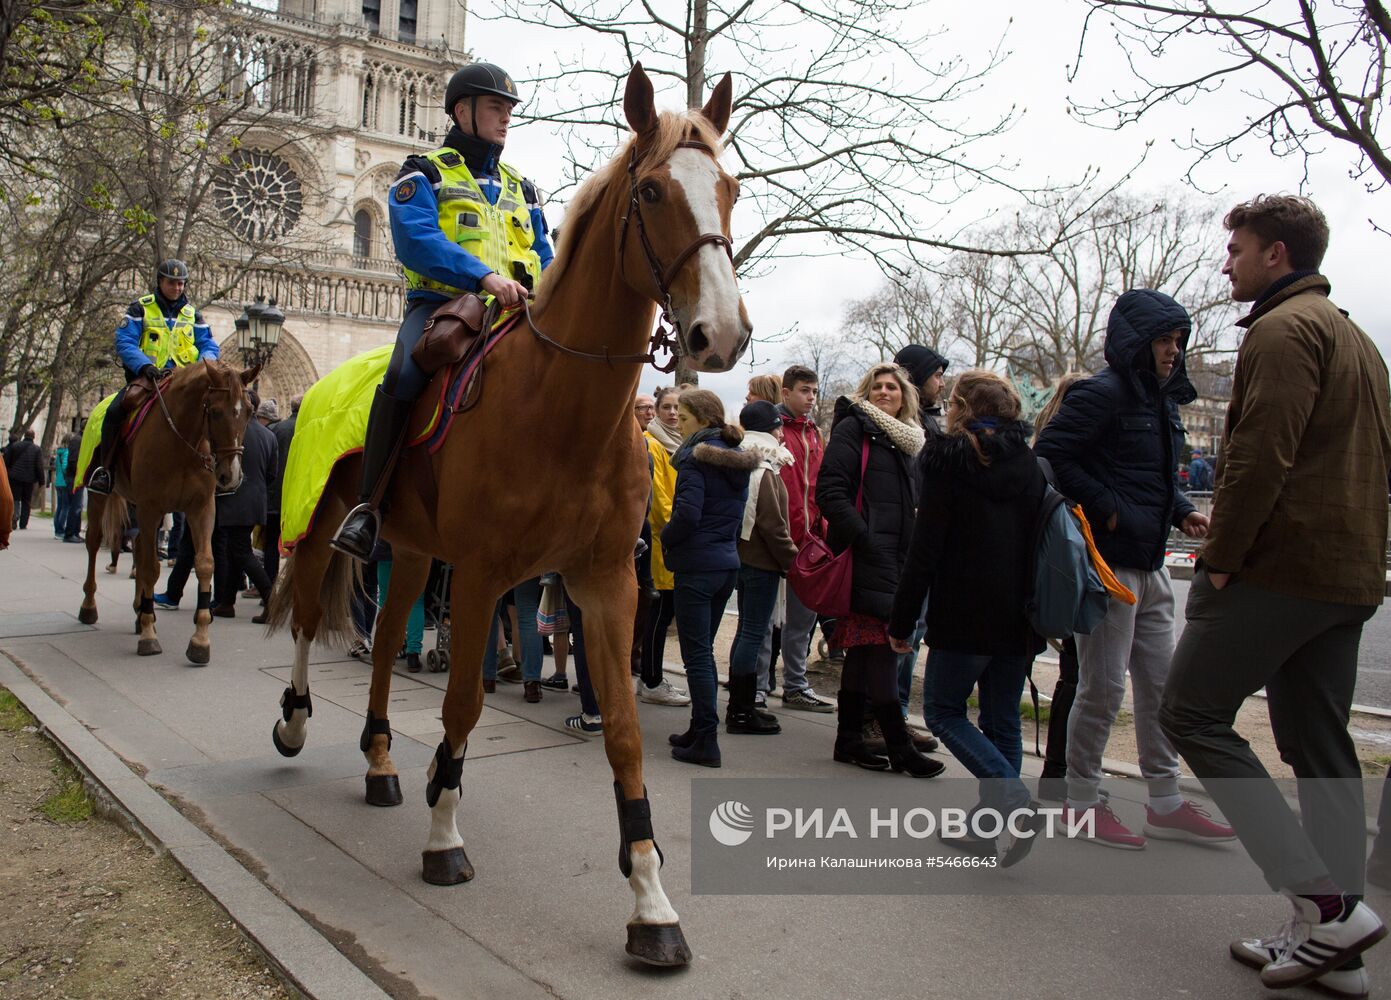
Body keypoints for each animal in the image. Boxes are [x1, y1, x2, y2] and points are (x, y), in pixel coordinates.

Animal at [78, 361, 260, 664]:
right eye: (214, 411)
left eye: (248, 411)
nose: (231, 476)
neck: (184, 443)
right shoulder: (151, 507)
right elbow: (151, 567)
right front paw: (149, 635)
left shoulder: (202, 508)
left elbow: (205, 564)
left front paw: (200, 640)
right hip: (99, 493)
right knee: (93, 541)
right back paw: (91, 607)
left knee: (140, 544)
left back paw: (140, 610)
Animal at [265, 64, 756, 968]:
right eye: (653, 190)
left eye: (731, 188)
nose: (722, 334)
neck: (563, 407)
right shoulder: (484, 576)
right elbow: (461, 704)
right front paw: (444, 838)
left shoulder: (604, 584)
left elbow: (623, 732)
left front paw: (650, 903)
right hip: (321, 526)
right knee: (311, 616)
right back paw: (295, 725)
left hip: (412, 552)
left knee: (382, 642)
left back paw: (382, 762)